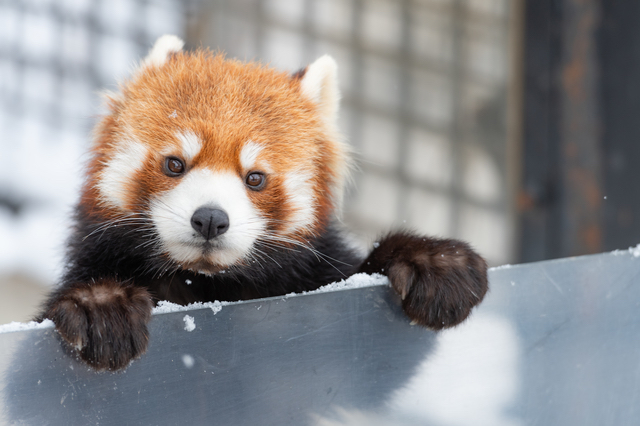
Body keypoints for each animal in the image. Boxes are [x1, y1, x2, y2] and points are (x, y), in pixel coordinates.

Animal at [38, 35, 490, 370]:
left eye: (255, 178)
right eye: (174, 164)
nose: (210, 219)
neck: (206, 283)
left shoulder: (316, 279)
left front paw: (434, 262)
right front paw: (101, 306)